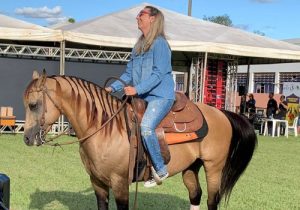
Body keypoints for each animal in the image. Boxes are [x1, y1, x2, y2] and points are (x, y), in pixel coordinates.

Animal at [23, 71, 258, 210]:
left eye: (34, 104)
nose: (27, 138)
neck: (104, 129)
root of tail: (222, 113)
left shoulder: (120, 184)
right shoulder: (97, 182)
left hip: (213, 167)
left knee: (211, 200)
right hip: (192, 167)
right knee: (195, 194)